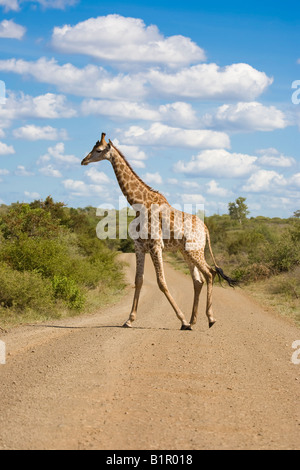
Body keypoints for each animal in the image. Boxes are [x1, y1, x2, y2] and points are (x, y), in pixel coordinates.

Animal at [81, 133, 238, 330]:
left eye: (99, 150)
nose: (84, 161)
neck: (139, 203)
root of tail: (206, 229)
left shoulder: (156, 246)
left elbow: (161, 282)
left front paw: (181, 319)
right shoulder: (139, 246)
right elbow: (138, 280)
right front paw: (129, 320)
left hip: (195, 250)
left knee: (209, 273)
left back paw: (209, 319)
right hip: (186, 252)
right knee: (198, 280)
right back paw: (193, 321)